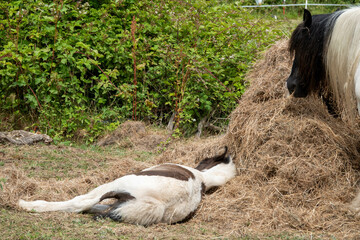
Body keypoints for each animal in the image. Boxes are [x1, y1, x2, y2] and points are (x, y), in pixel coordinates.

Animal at [19, 146, 236, 227]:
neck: (202, 178)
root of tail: (158, 205)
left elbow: (83, 203)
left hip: (116, 183)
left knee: (80, 203)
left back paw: (27, 205)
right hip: (121, 204)